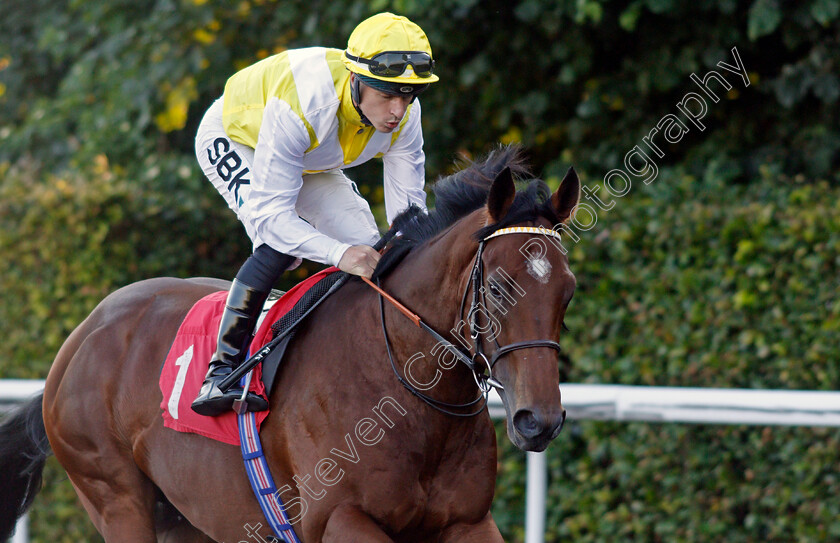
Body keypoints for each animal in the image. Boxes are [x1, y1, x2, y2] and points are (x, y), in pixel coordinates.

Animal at [0, 146, 576, 543]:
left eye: (568, 290)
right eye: (498, 288)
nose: (538, 420)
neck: (406, 392)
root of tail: (81, 337)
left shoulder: (468, 521)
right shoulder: (338, 518)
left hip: (186, 516)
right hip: (116, 497)